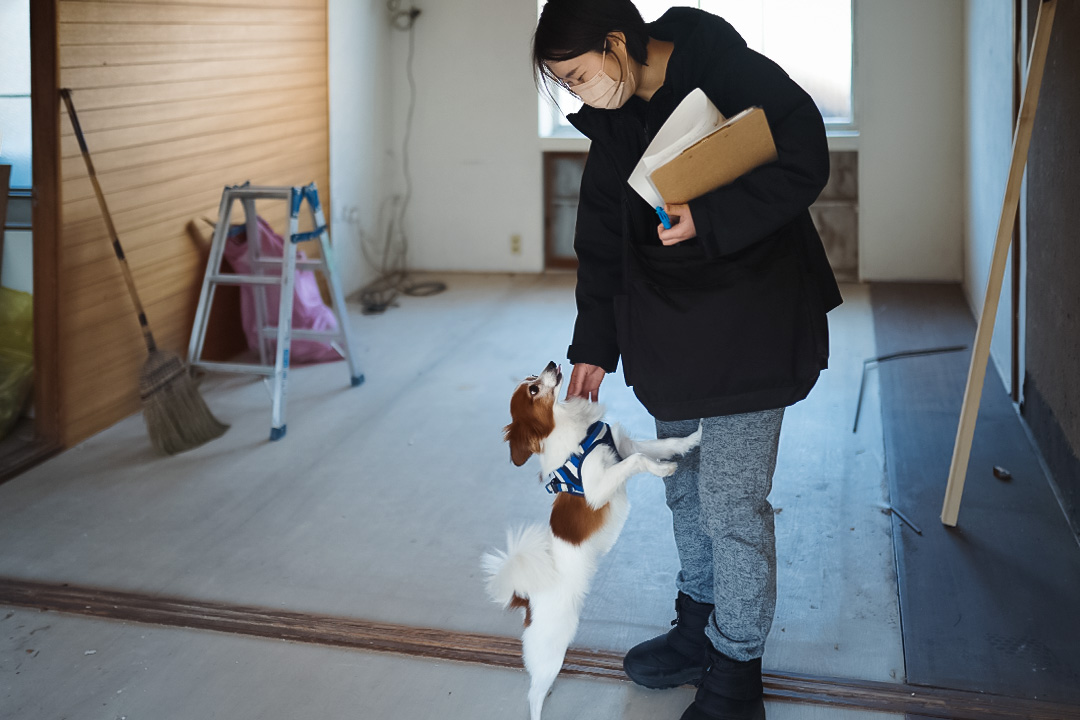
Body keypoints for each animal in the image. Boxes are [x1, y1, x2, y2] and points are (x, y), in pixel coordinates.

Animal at [486, 360, 704, 720]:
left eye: (532, 377)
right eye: (534, 388)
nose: (551, 363)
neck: (574, 428)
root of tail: (526, 598)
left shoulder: (627, 446)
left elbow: (665, 444)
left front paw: (694, 437)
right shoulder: (598, 489)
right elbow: (640, 461)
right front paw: (664, 469)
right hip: (551, 649)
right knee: (533, 694)